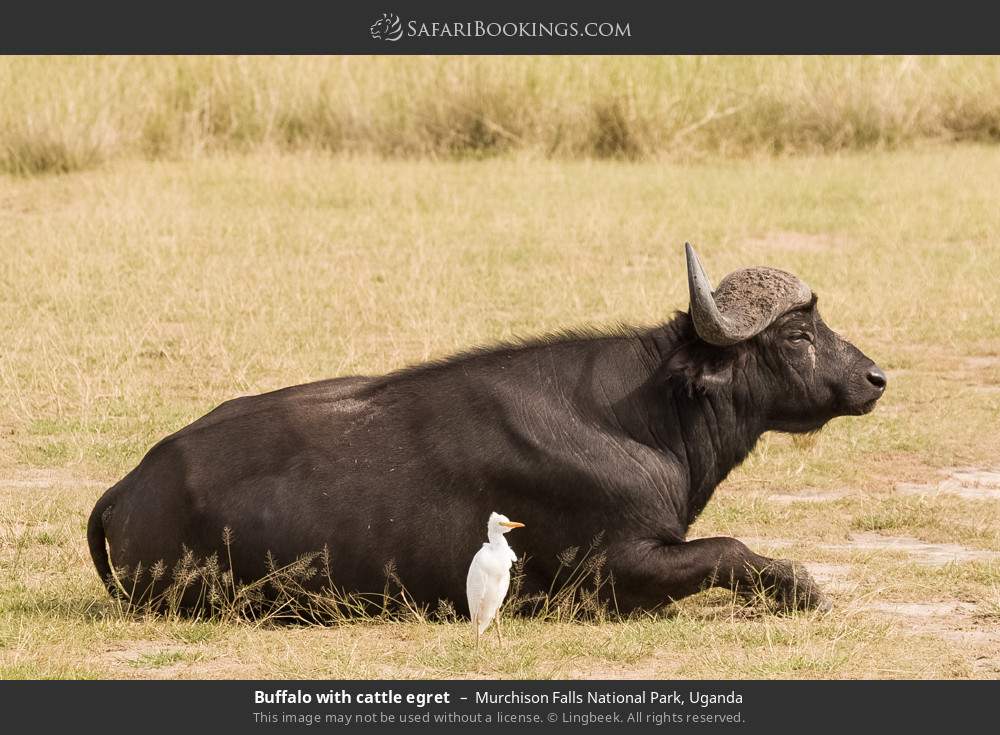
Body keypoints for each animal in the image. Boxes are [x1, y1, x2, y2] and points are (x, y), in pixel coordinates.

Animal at [88, 244, 886, 616]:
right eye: (798, 335)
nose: (877, 377)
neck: (643, 418)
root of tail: (130, 485)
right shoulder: (615, 568)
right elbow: (729, 549)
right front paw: (804, 586)